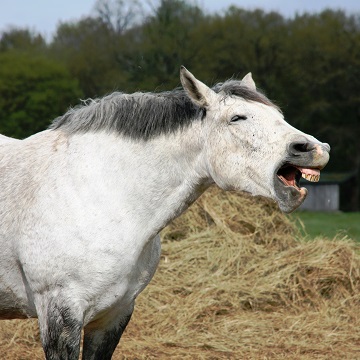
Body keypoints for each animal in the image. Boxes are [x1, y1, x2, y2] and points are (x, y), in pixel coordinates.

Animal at [0, 67, 330, 358]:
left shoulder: (113, 316)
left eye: (280, 117)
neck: (99, 193)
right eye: (237, 117)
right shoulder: (59, 314)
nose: (315, 149)